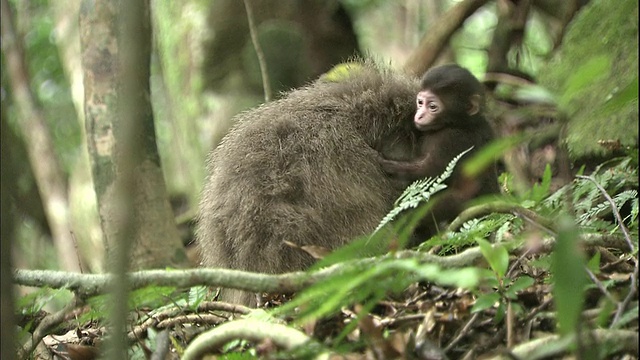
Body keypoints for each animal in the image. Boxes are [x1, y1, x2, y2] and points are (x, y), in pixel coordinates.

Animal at [380, 64, 500, 245]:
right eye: (420, 102)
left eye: (433, 107)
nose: (419, 115)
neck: (460, 123)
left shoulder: (449, 139)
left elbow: (431, 171)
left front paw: (389, 166)